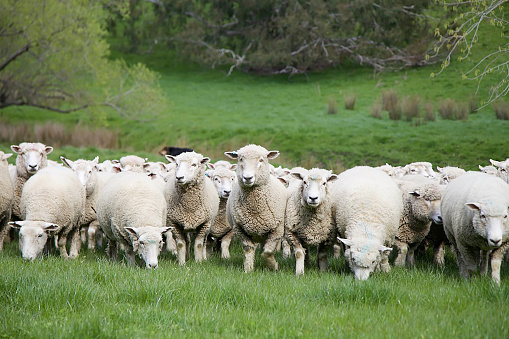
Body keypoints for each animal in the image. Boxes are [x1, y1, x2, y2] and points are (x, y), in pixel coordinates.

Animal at [225, 144, 288, 274]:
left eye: (261, 160)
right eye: (240, 159)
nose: (247, 178)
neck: (255, 209)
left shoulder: (277, 230)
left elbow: (268, 252)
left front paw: (273, 266)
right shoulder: (240, 229)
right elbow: (249, 249)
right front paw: (248, 269)